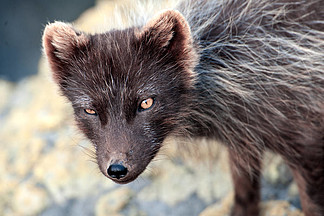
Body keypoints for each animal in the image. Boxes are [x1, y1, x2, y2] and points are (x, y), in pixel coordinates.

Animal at [43, 0, 324, 215]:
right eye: (90, 110)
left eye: (146, 102)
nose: (117, 169)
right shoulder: (243, 139)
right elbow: (245, 189)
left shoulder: (307, 145)